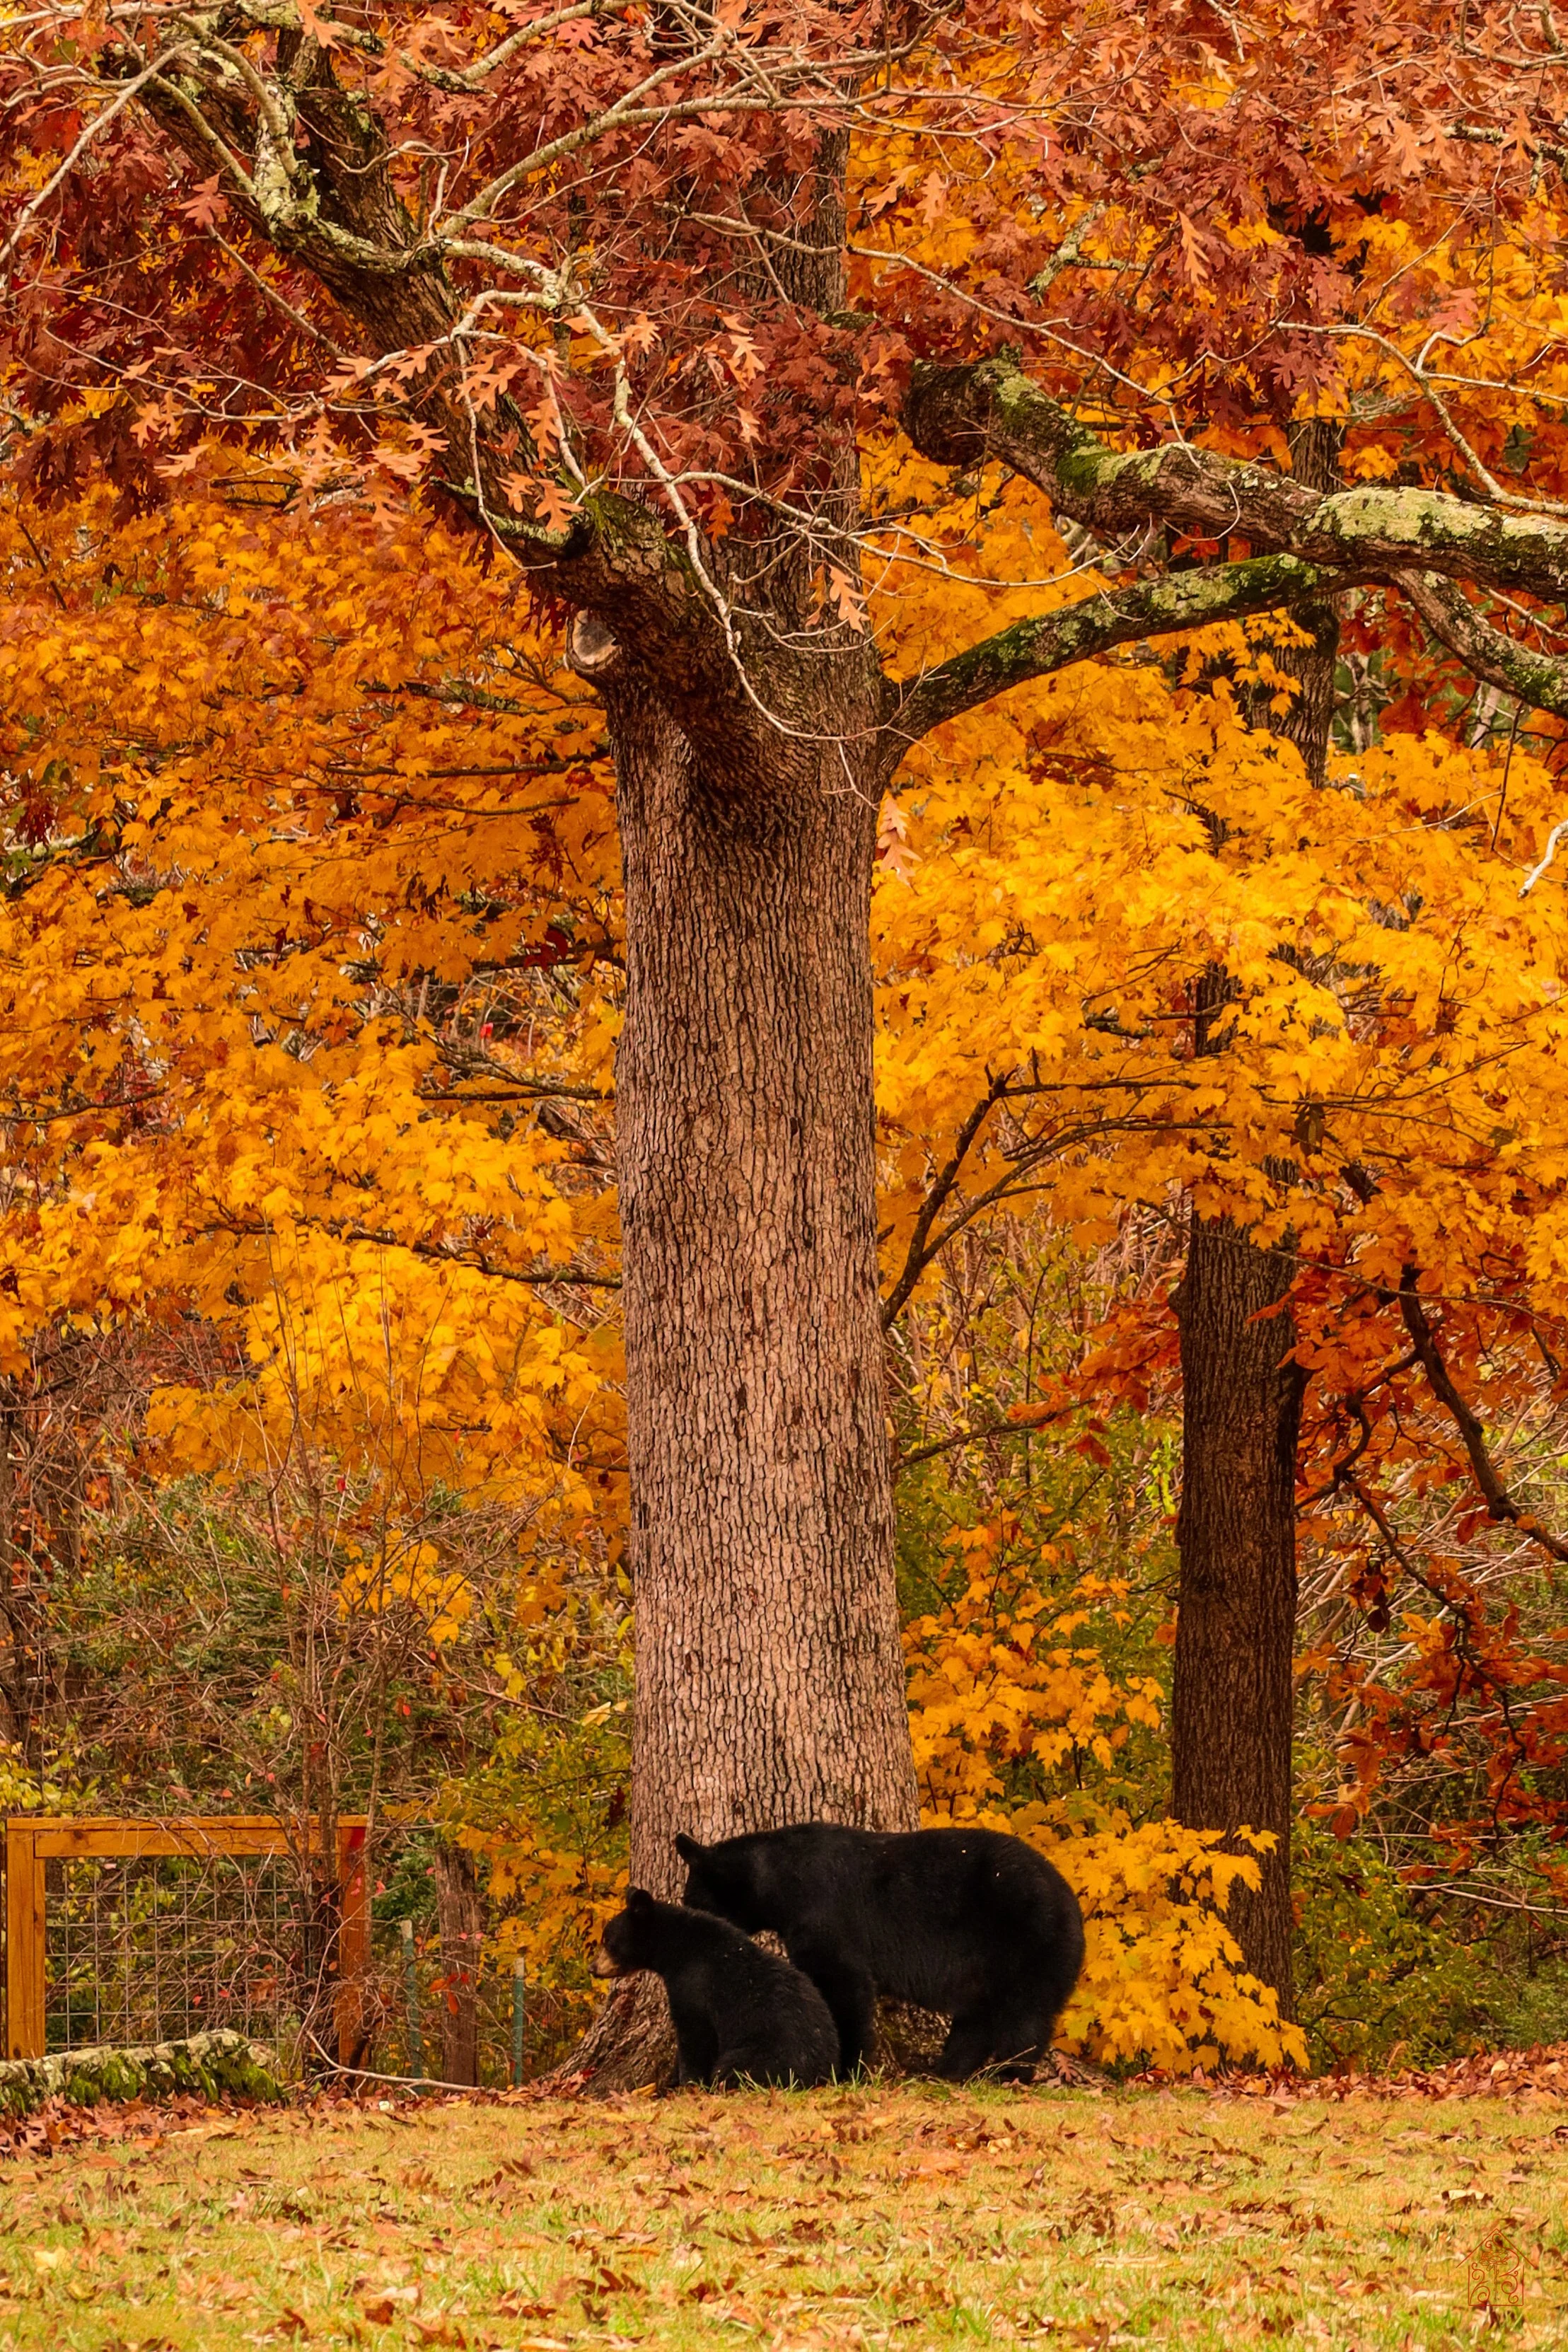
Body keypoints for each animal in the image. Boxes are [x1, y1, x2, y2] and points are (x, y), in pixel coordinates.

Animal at [590, 1886, 839, 2089]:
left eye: (608, 1942)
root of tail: (819, 2077)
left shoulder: (692, 1983)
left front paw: (688, 2084)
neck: (676, 1950)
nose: (593, 1967)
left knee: (730, 2068)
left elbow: (694, 2034)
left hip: (762, 2055)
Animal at [676, 1823, 1084, 2082]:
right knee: (979, 2017)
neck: (779, 1882)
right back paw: (947, 2071)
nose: (686, 1918)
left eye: (692, 1900)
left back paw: (1008, 2073)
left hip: (1025, 1941)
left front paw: (846, 2068)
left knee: (1024, 2015)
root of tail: (1073, 1906)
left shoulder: (825, 1917)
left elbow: (842, 1986)